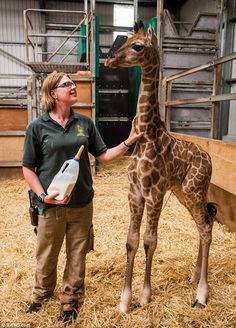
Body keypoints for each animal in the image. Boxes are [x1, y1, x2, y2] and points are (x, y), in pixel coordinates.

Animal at [105, 19, 216, 312]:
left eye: (137, 45)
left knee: (206, 228)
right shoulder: (134, 193)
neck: (146, 136)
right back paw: (193, 278)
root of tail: (209, 158)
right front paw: (124, 301)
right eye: (125, 39)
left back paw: (201, 295)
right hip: (183, 193)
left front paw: (144, 296)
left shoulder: (153, 194)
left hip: (194, 191)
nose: (109, 60)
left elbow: (149, 241)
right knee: (204, 224)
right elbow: (131, 241)